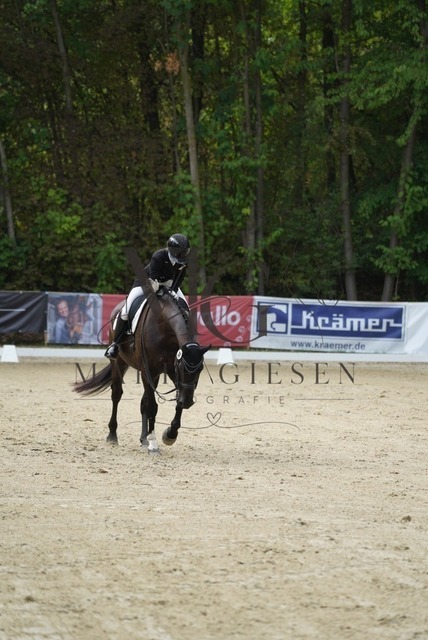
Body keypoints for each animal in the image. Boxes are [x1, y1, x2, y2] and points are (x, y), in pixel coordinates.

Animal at [73, 288, 209, 453]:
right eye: (182, 368)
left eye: (200, 369)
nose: (188, 402)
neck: (165, 327)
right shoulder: (148, 370)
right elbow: (152, 406)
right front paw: (154, 445)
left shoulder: (171, 372)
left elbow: (173, 402)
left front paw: (170, 435)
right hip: (119, 362)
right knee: (117, 395)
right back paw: (113, 435)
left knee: (143, 401)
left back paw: (144, 438)